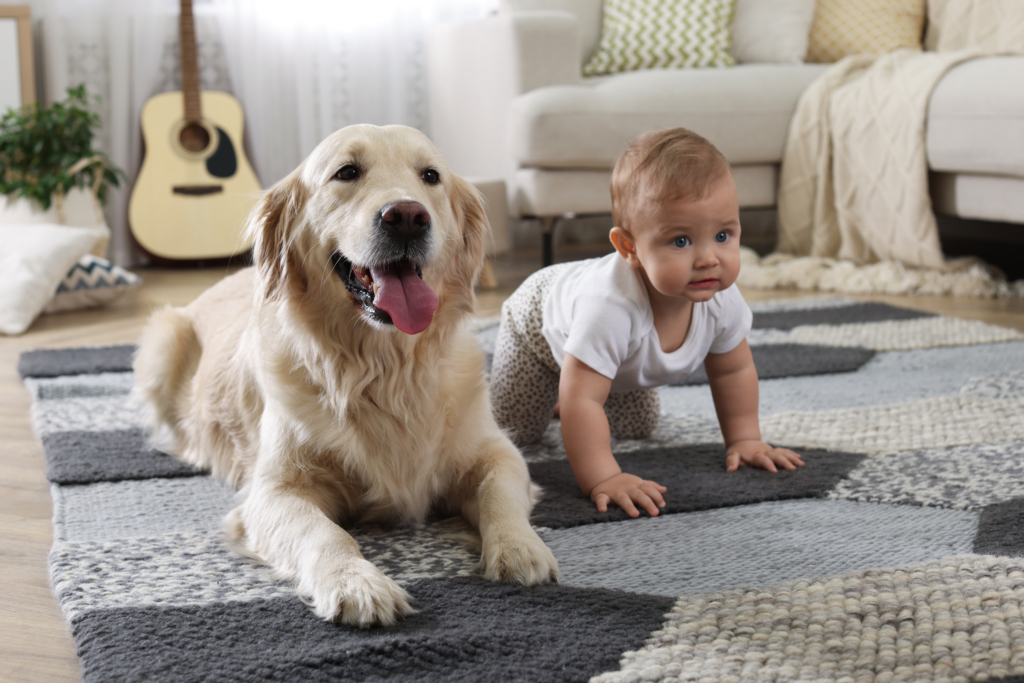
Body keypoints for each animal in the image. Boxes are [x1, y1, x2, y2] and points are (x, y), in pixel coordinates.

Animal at [134, 121, 561, 626]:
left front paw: (520, 548)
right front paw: (355, 583)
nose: (407, 216)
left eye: (430, 176)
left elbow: (501, 493)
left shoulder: (495, 451)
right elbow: (325, 533)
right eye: (347, 172)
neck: (384, 368)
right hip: (161, 338)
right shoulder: (274, 493)